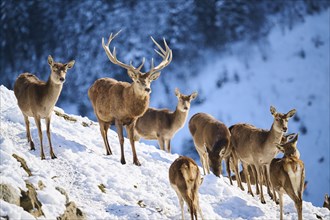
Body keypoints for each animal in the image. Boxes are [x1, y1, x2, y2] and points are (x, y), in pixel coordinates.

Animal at [89, 31, 173, 165]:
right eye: (138, 81)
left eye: (149, 81)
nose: (148, 89)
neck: (128, 109)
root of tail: (91, 86)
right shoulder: (117, 118)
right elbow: (121, 139)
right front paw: (123, 160)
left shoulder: (133, 121)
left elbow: (132, 140)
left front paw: (137, 161)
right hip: (98, 114)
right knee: (102, 131)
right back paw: (109, 152)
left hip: (107, 120)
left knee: (105, 130)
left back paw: (110, 152)